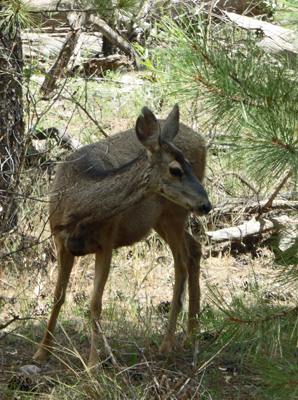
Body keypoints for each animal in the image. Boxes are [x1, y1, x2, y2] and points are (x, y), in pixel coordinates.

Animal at [33, 104, 212, 368]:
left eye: (188, 165)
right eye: (176, 169)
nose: (206, 204)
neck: (76, 205)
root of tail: (201, 140)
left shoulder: (107, 242)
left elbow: (95, 303)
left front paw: (93, 362)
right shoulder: (60, 241)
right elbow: (58, 296)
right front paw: (42, 352)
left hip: (175, 214)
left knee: (181, 261)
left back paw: (167, 344)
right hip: (162, 220)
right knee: (195, 250)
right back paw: (190, 335)